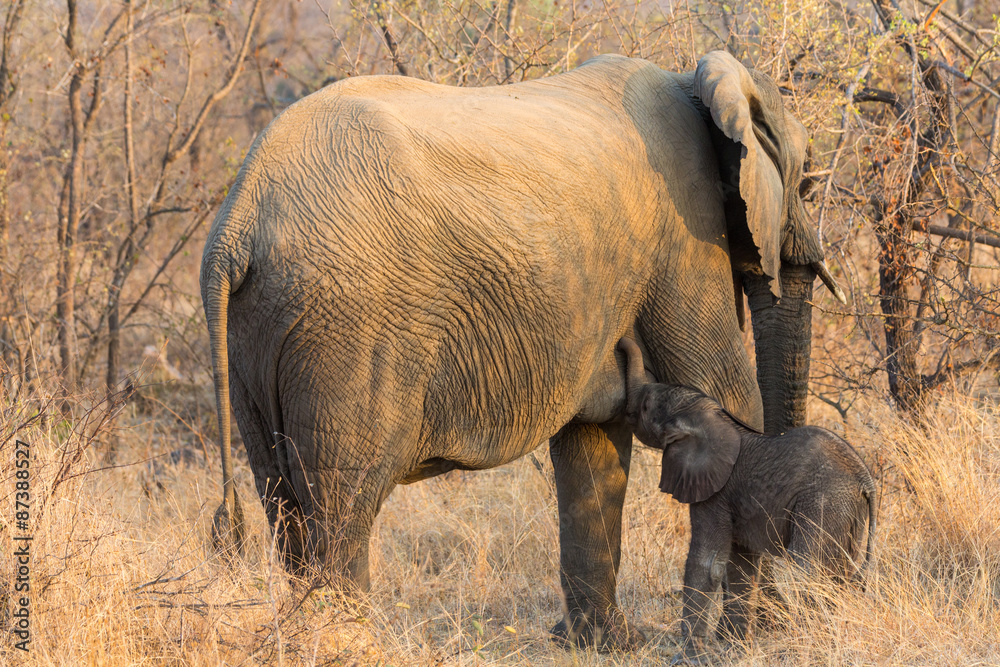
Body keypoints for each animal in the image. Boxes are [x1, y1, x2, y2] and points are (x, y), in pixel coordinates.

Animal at [200, 50, 845, 650]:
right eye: (806, 180)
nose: (784, 618)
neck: (696, 81)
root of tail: (235, 223)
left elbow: (592, 447)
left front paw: (609, 645)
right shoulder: (685, 227)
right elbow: (727, 400)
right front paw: (752, 637)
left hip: (260, 331)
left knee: (280, 492)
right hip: (349, 327)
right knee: (340, 498)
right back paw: (351, 640)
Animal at [618, 336, 876, 663]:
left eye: (646, 406)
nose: (621, 341)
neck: (713, 418)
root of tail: (865, 478)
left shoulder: (715, 493)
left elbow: (707, 563)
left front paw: (690, 658)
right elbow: (741, 566)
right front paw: (736, 650)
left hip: (824, 501)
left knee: (808, 568)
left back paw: (809, 645)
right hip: (847, 510)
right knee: (840, 570)